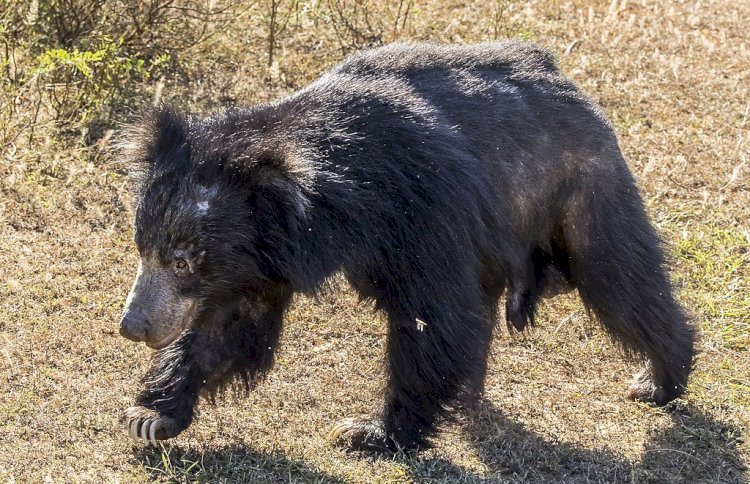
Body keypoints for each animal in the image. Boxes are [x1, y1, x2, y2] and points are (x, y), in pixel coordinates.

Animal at [117, 40, 700, 450]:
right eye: (144, 249)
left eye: (182, 262)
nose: (132, 327)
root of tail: (566, 81)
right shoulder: (259, 258)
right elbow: (230, 325)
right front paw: (150, 416)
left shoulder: (424, 210)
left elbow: (434, 320)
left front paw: (369, 432)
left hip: (582, 189)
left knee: (621, 278)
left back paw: (656, 380)